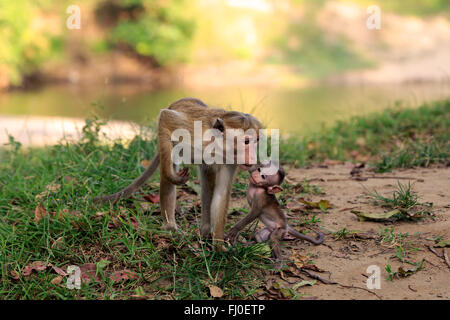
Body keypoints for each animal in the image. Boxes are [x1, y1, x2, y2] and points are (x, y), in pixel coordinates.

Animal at [96, 99, 264, 246]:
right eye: (246, 141)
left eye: (256, 140)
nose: (253, 156)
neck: (216, 146)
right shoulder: (194, 131)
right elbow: (166, 117)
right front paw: (172, 176)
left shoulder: (230, 162)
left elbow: (221, 194)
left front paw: (219, 245)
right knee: (169, 163)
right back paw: (171, 226)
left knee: (207, 179)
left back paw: (205, 230)